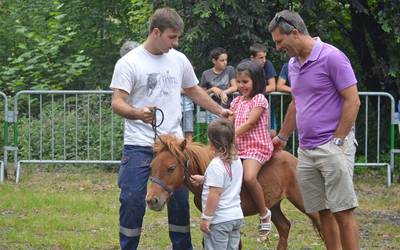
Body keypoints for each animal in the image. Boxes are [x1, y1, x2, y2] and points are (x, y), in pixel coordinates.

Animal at [145, 136, 324, 249]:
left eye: (171, 168)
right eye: (151, 166)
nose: (151, 200)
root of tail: (295, 160)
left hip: (302, 202)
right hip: (272, 206)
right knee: (285, 227)